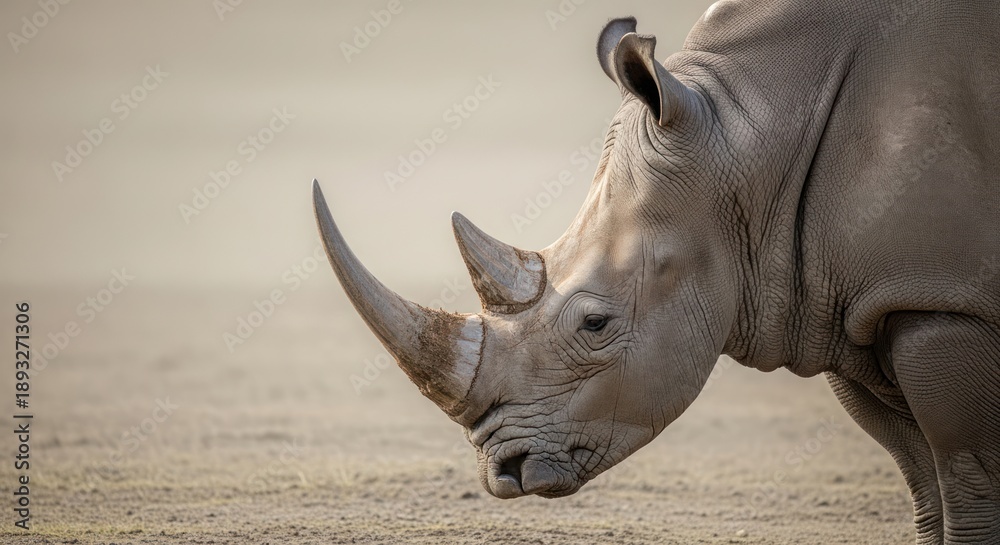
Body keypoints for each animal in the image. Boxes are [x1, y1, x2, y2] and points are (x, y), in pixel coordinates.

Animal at [313, 1, 1000, 542]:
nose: (502, 472)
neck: (757, 131)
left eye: (594, 324)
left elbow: (967, 478)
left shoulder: (940, 303)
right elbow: (922, 481)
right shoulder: (848, 301)